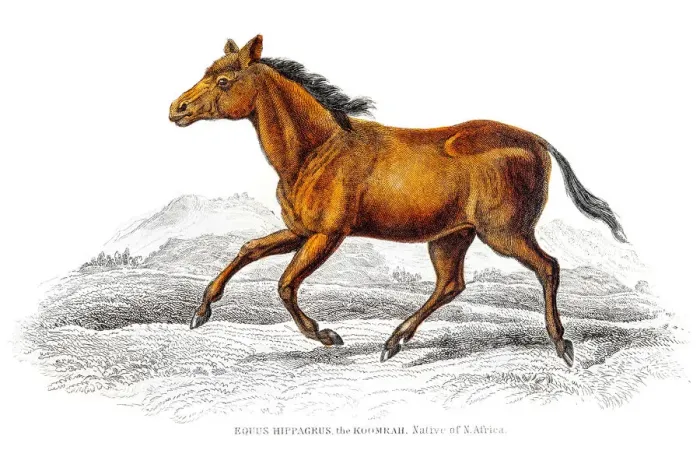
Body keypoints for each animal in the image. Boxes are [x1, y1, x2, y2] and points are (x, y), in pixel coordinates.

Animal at [169, 35, 626, 367]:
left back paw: (562, 346)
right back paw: (394, 341)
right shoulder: (301, 231)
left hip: (505, 233)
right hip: (451, 237)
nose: (177, 108)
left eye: (224, 81)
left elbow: (285, 285)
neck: (317, 149)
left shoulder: (327, 235)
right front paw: (200, 313)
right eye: (207, 72)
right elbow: (247, 249)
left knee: (548, 268)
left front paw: (326, 336)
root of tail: (538, 142)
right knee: (451, 284)